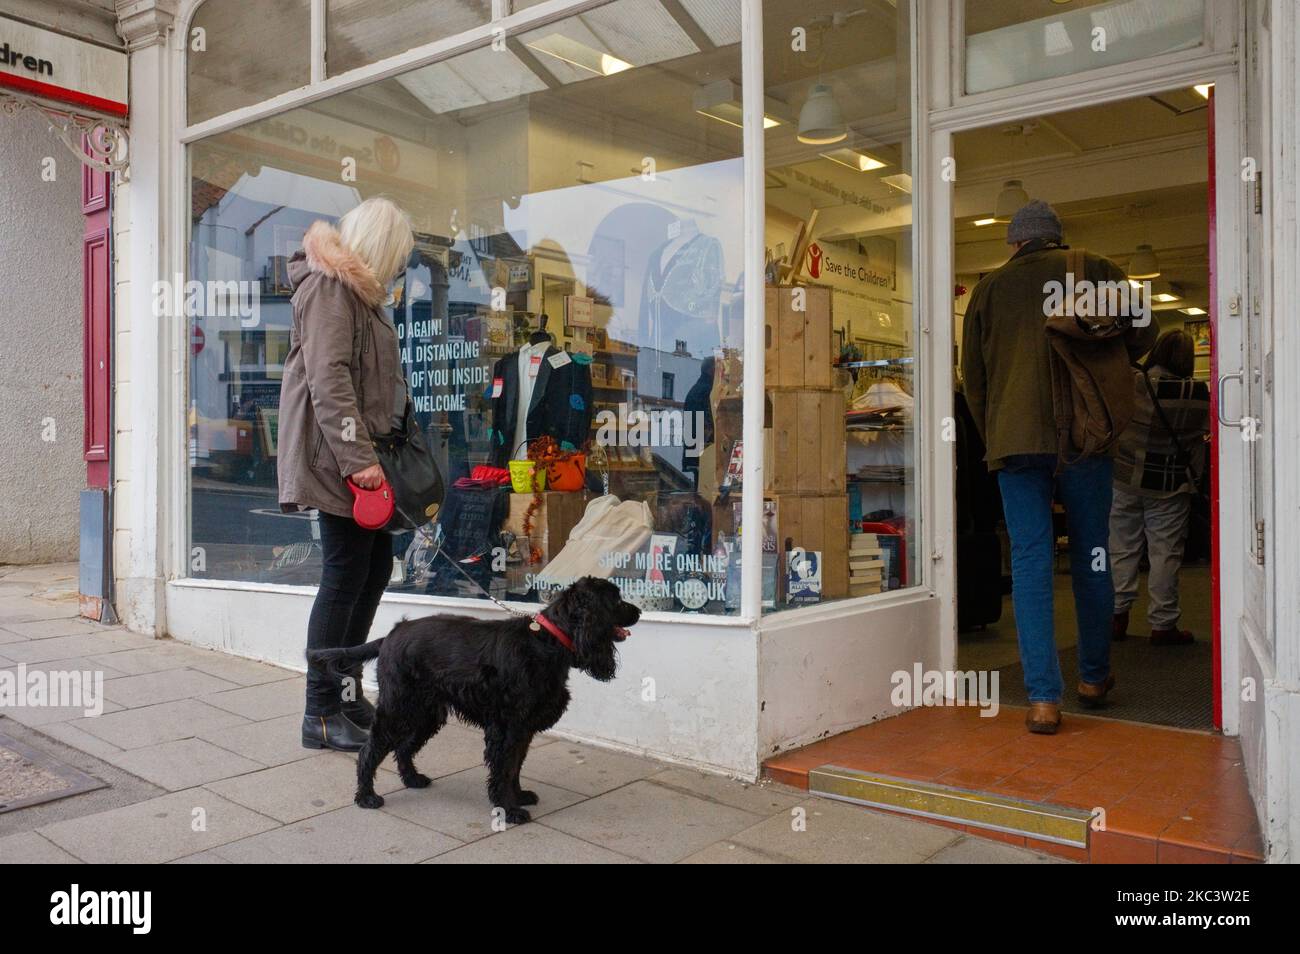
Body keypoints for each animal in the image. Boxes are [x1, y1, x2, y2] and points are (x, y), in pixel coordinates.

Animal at [305, 579, 639, 826]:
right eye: (616, 601)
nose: (638, 611)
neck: (547, 641)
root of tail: (392, 633)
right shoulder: (507, 728)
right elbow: (504, 769)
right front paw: (509, 810)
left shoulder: (523, 728)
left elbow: (515, 767)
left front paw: (518, 796)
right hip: (399, 707)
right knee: (369, 751)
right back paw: (366, 796)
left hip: (426, 712)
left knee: (404, 747)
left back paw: (412, 778)